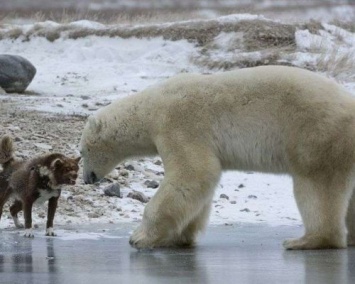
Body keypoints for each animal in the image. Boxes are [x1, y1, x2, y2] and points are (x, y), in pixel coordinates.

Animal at [80, 65, 355, 250]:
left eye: (82, 151)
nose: (86, 179)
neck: (151, 108)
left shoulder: (179, 124)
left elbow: (193, 174)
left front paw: (138, 237)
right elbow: (199, 187)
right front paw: (179, 236)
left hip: (316, 136)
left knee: (315, 187)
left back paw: (306, 240)